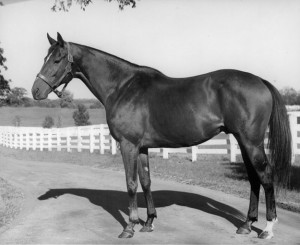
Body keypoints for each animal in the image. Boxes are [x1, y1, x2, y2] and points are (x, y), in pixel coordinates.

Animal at [31, 32, 290, 239]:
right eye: (45, 58)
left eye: (57, 59)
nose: (36, 91)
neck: (122, 87)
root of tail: (260, 81)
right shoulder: (142, 147)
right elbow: (146, 181)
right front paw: (148, 222)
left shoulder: (128, 145)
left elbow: (131, 183)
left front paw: (130, 227)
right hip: (243, 141)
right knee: (254, 179)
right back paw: (246, 225)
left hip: (251, 142)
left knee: (266, 176)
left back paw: (268, 228)